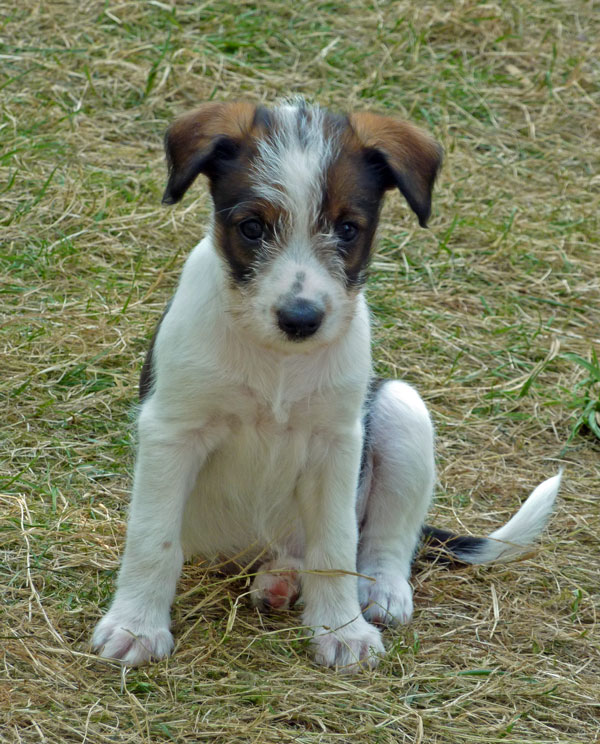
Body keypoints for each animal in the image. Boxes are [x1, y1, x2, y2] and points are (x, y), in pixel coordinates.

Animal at [92, 100, 561, 671]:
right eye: (252, 228)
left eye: (347, 229)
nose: (301, 318)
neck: (277, 361)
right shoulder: (172, 431)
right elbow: (153, 538)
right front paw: (135, 627)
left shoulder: (336, 442)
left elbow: (336, 545)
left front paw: (343, 630)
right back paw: (279, 582)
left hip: (401, 407)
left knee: (384, 540)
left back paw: (377, 589)